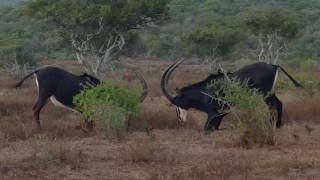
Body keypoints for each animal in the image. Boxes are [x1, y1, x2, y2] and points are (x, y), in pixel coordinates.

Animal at [13, 66, 146, 128]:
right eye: (125, 111)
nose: (127, 126)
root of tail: (38, 70)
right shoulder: (87, 107)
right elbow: (89, 120)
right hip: (44, 95)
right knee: (36, 109)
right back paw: (39, 128)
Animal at [161, 60, 304, 131]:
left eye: (176, 104)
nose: (180, 120)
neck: (203, 92)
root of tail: (274, 65)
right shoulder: (222, 113)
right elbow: (214, 128)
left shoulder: (215, 112)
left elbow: (207, 128)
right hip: (270, 93)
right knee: (278, 104)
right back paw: (276, 125)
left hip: (264, 94)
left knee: (273, 105)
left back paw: (273, 125)